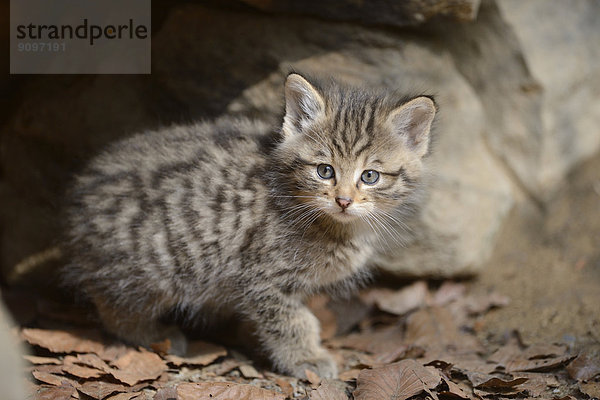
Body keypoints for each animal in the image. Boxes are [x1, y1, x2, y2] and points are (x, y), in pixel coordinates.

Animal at [62, 72, 436, 378]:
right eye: (324, 170)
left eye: (370, 176)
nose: (343, 200)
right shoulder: (261, 274)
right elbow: (291, 321)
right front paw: (306, 359)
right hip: (154, 267)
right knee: (111, 303)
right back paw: (155, 335)